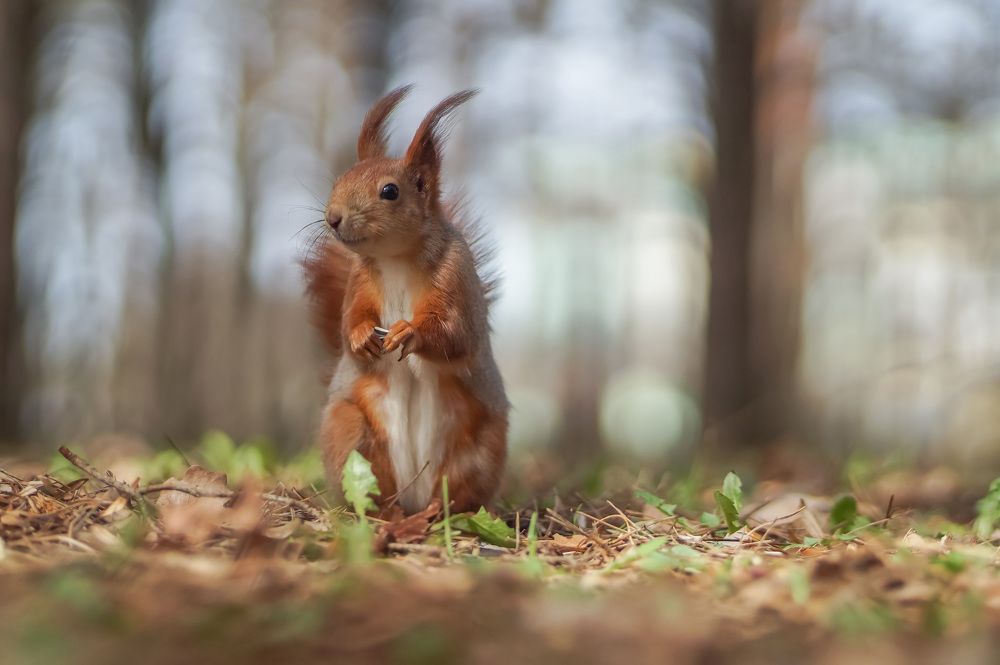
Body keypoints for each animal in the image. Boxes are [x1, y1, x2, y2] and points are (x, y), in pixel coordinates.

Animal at [303, 85, 508, 515]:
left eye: (390, 191)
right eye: (341, 178)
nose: (332, 218)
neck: (396, 258)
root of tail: (412, 495)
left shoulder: (455, 278)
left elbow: (457, 335)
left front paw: (408, 333)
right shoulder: (360, 282)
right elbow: (350, 321)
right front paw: (363, 337)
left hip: (480, 448)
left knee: (456, 491)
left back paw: (439, 512)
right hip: (350, 432)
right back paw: (383, 513)